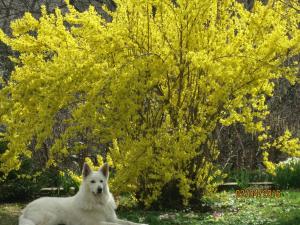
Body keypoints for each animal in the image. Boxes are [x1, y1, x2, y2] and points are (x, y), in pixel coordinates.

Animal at [18, 163, 148, 225]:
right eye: (92, 182)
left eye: (101, 181)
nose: (100, 189)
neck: (99, 203)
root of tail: (26, 208)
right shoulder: (97, 223)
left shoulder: (112, 219)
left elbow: (128, 222)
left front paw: (142, 224)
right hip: (51, 217)